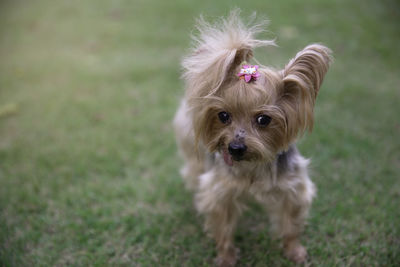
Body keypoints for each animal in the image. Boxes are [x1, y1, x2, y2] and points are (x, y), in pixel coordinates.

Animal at [173, 9, 332, 266]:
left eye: (263, 119)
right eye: (223, 115)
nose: (235, 148)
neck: (252, 165)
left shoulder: (293, 187)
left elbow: (291, 223)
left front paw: (295, 251)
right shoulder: (220, 192)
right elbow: (223, 227)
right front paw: (226, 257)